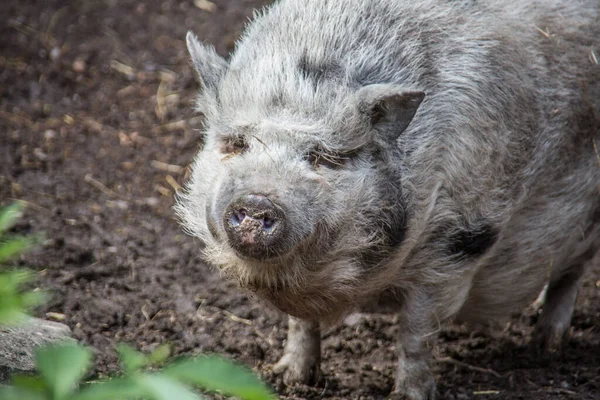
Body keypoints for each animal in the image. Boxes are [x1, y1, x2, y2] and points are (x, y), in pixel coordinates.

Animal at [176, 0, 596, 396]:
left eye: (322, 157)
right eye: (236, 144)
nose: (258, 200)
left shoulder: (455, 246)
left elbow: (416, 332)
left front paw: (408, 394)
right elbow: (301, 323)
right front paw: (287, 379)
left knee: (571, 277)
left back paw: (547, 346)